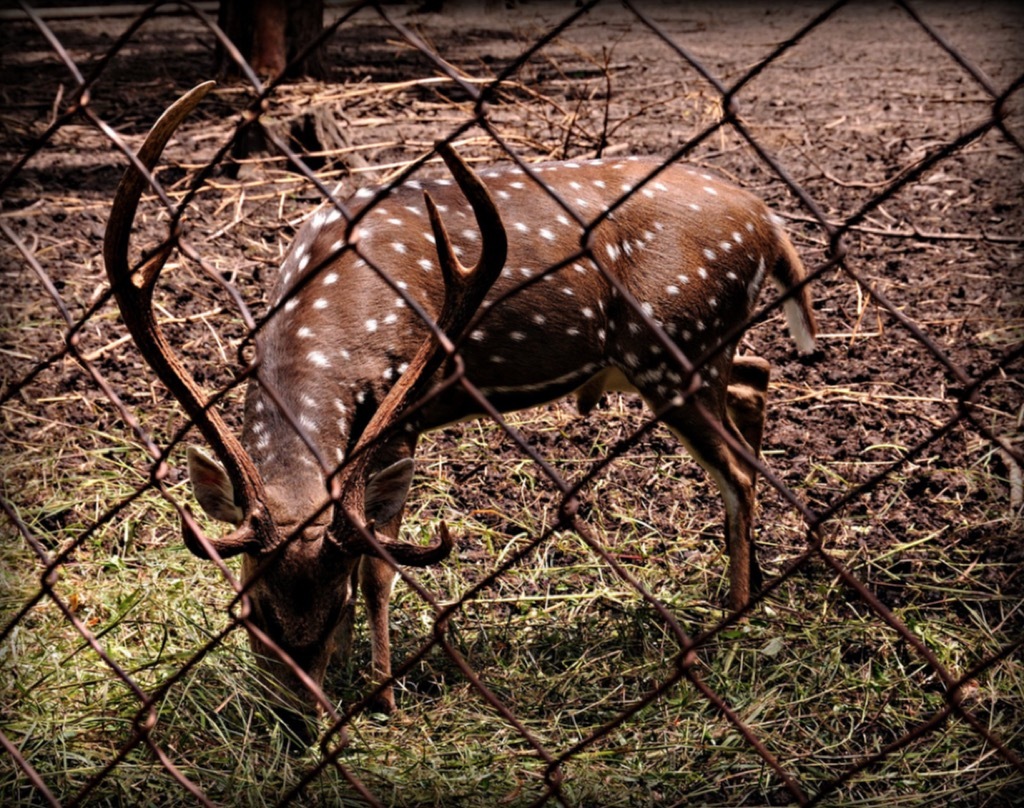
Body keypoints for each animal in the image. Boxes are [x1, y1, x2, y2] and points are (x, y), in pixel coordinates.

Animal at [105, 80, 815, 712]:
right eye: (251, 607)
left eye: (335, 609)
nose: (296, 715)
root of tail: (771, 225)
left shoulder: (397, 411)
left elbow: (380, 566)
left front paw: (384, 695)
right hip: (701, 349)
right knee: (756, 379)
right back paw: (749, 584)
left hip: (673, 346)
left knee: (738, 472)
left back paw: (737, 617)